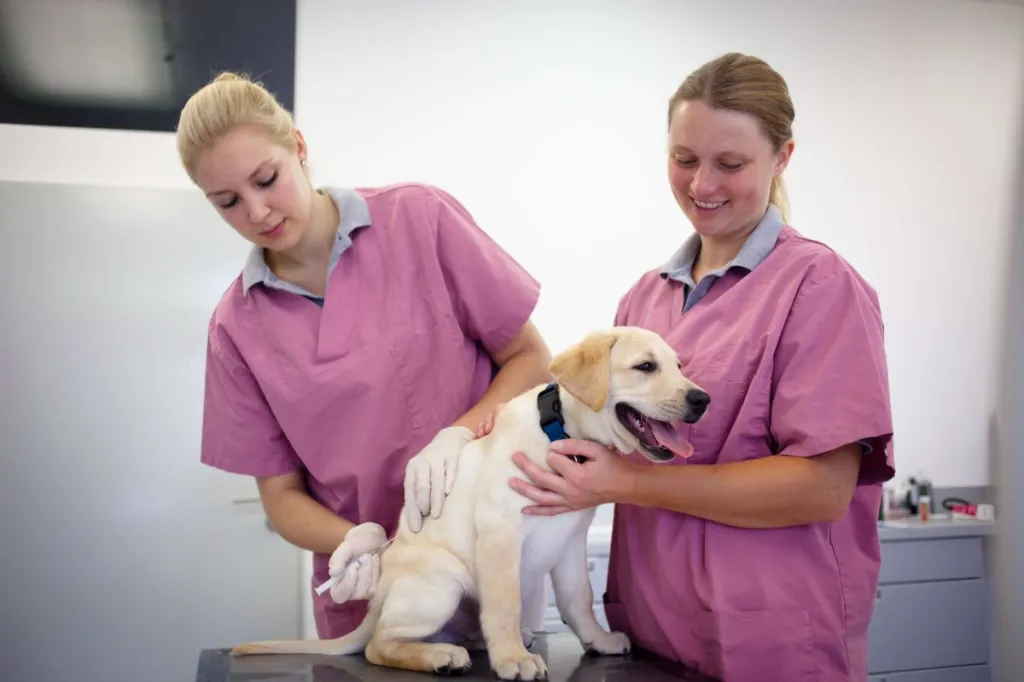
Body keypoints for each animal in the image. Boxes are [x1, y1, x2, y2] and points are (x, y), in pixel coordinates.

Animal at [228, 327, 708, 675]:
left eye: (680, 366)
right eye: (645, 366)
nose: (702, 399)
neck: (558, 434)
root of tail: (379, 593)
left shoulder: (571, 542)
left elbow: (578, 599)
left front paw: (599, 640)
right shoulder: (500, 531)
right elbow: (505, 601)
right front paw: (512, 659)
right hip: (443, 582)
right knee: (380, 645)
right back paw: (440, 655)